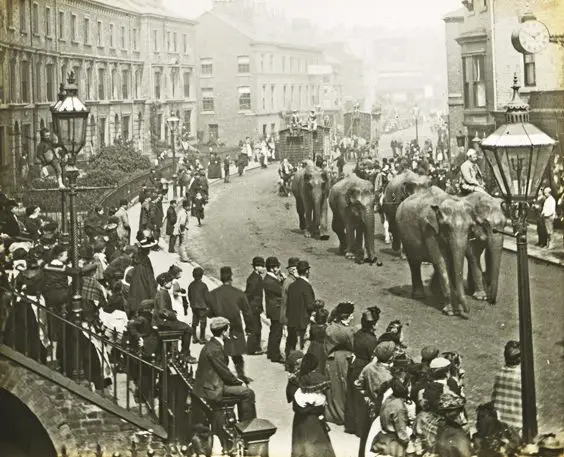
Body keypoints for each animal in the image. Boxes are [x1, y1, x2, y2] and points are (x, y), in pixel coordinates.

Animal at [394, 185, 478, 318]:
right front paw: (451, 311)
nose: (467, 311)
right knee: (414, 262)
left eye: (470, 227)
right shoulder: (428, 229)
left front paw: (454, 309)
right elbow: (441, 260)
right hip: (404, 234)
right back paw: (419, 296)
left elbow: (448, 261)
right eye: (447, 227)